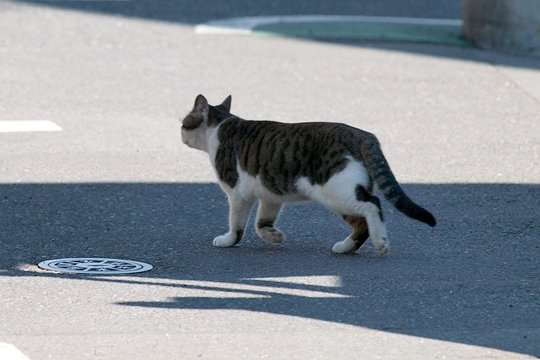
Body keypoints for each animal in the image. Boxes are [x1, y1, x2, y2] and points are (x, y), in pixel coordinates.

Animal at [180, 94, 434, 255]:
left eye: (184, 122)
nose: (180, 133)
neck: (220, 125)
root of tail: (362, 134)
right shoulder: (270, 194)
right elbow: (261, 224)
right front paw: (274, 236)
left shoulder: (237, 193)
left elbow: (237, 224)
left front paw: (228, 240)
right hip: (342, 195)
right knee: (361, 224)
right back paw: (345, 247)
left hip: (337, 193)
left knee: (372, 205)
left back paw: (380, 242)